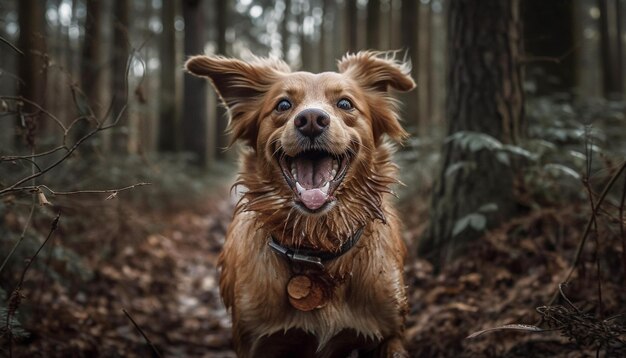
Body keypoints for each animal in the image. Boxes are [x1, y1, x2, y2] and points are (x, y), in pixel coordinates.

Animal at [185, 51, 414, 358]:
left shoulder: (389, 335)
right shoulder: (258, 342)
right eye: (283, 104)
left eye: (345, 103)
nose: (312, 119)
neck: (317, 246)